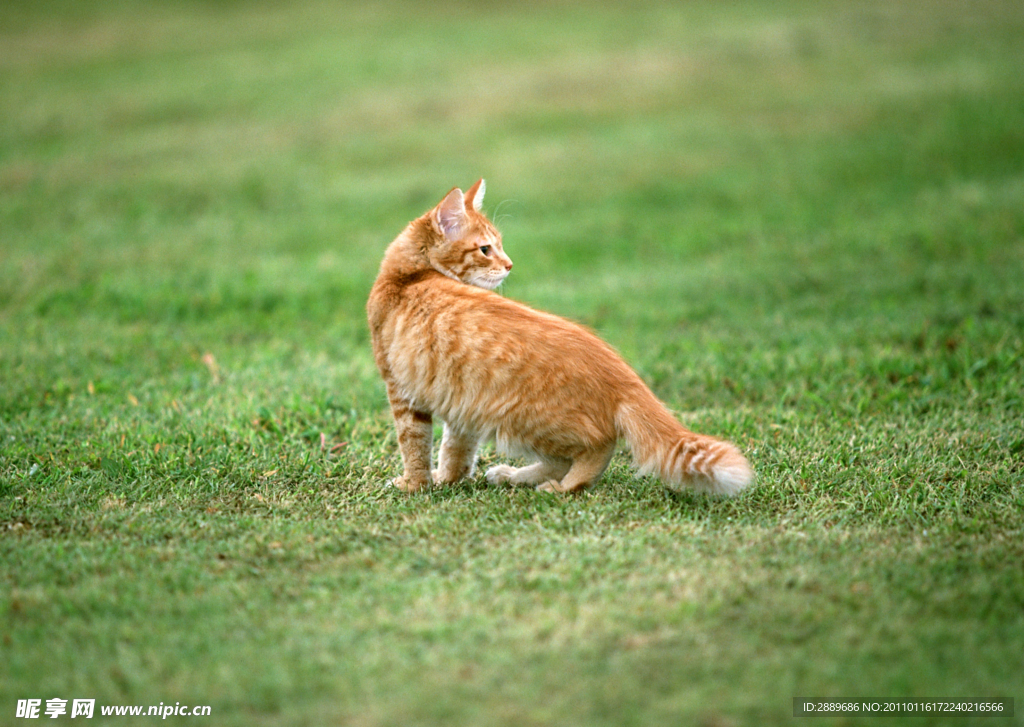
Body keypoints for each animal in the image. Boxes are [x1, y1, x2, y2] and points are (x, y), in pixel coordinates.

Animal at [368, 180, 753, 495]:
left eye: (497, 247)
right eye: (486, 249)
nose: (509, 265)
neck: (409, 279)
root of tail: (623, 377)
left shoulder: (402, 393)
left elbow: (414, 446)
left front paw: (414, 484)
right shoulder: (460, 406)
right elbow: (455, 450)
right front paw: (446, 478)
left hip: (519, 421)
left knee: (596, 450)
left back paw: (560, 487)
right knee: (563, 459)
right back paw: (514, 476)